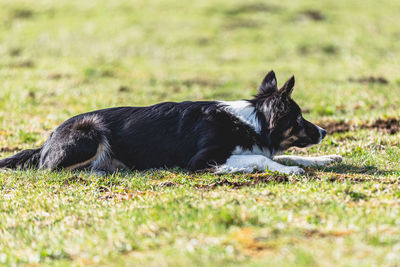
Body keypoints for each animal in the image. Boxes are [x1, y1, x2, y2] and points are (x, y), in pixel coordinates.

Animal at [0, 71, 340, 176]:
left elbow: (288, 155)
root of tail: (47, 140)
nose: (324, 132)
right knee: (51, 169)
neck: (253, 121)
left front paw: (326, 158)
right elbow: (261, 159)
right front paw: (289, 170)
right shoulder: (202, 161)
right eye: (299, 118)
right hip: (89, 133)